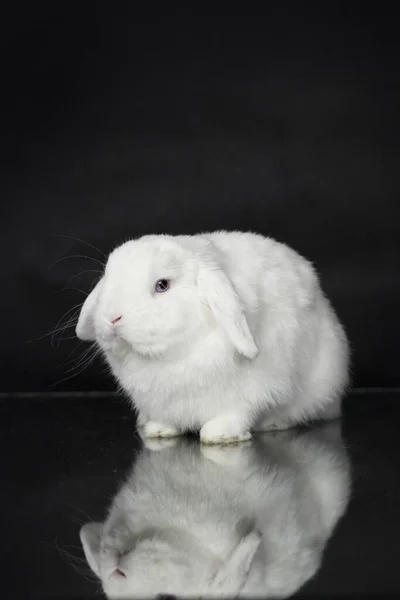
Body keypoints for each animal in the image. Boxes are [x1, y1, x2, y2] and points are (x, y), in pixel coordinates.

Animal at [76, 232, 350, 442]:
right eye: (108, 279)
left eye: (162, 285)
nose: (112, 317)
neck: (174, 354)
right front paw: (159, 430)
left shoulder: (251, 391)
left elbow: (237, 412)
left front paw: (219, 435)